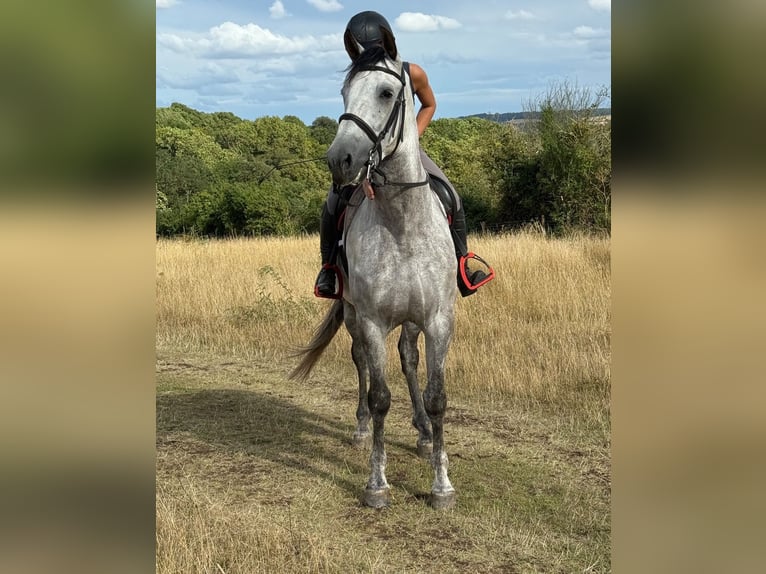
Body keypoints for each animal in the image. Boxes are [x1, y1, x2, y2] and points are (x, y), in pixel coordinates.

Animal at [290, 36, 457, 510]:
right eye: (344, 93)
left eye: (386, 93)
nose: (340, 160)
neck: (400, 222)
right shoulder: (370, 320)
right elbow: (380, 396)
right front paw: (377, 484)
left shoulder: (438, 319)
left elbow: (437, 397)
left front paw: (441, 484)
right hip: (351, 314)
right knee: (362, 362)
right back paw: (362, 427)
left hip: (412, 321)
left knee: (409, 359)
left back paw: (422, 432)